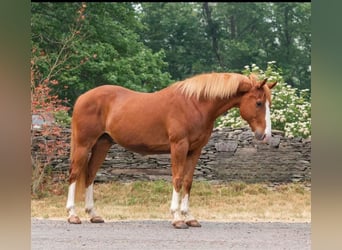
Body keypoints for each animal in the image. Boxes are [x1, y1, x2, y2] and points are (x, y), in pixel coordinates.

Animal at [65, 72, 276, 229]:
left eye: (269, 104)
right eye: (258, 103)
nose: (266, 135)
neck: (195, 104)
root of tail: (82, 98)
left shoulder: (195, 151)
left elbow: (188, 182)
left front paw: (189, 217)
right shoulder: (178, 146)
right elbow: (178, 179)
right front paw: (177, 218)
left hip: (102, 144)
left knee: (90, 175)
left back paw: (93, 214)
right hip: (84, 145)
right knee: (75, 174)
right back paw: (72, 215)